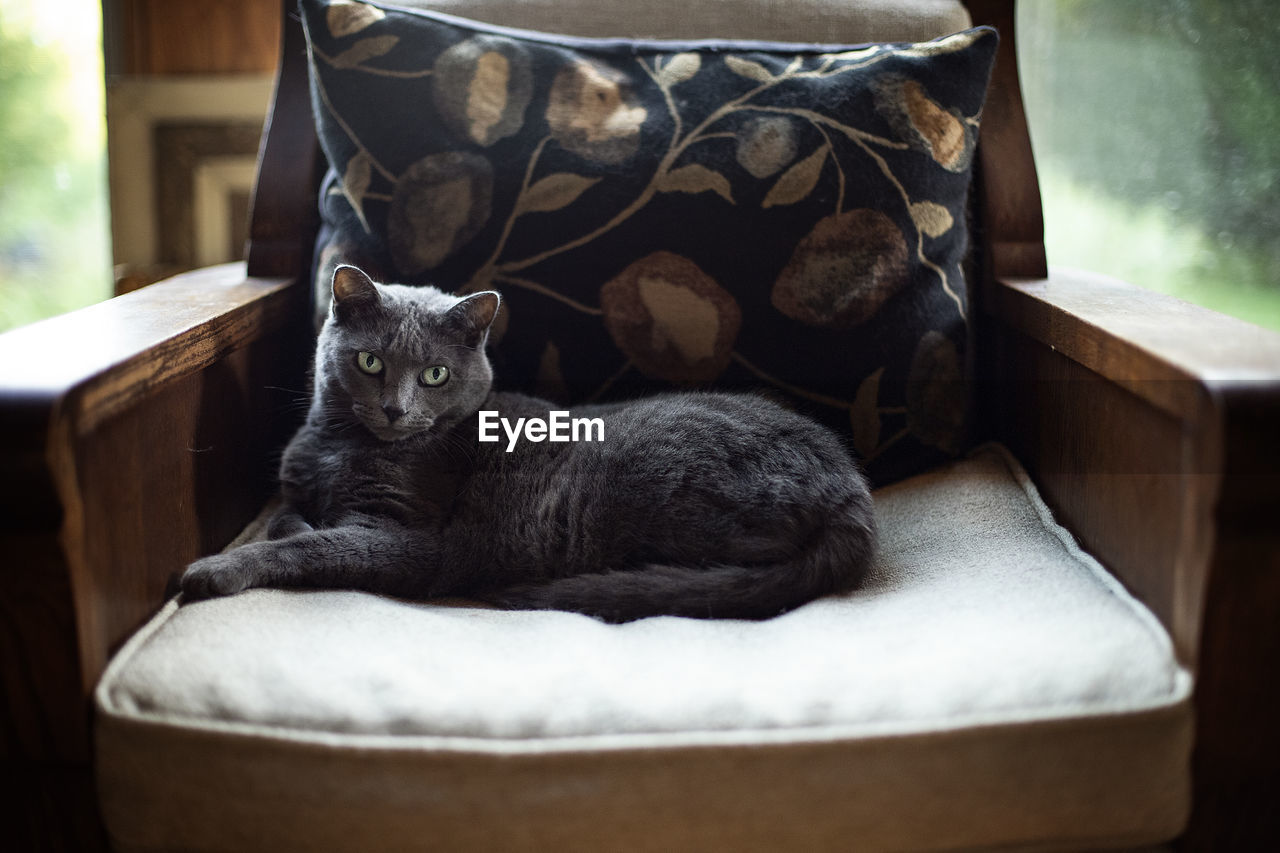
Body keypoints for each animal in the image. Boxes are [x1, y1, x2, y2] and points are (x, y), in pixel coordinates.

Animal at [177, 263, 880, 617]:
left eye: (435, 375)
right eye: (371, 362)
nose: (397, 409)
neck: (339, 446)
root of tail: (851, 489)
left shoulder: (408, 541)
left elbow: (308, 546)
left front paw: (214, 570)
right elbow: (289, 516)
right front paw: (296, 518)